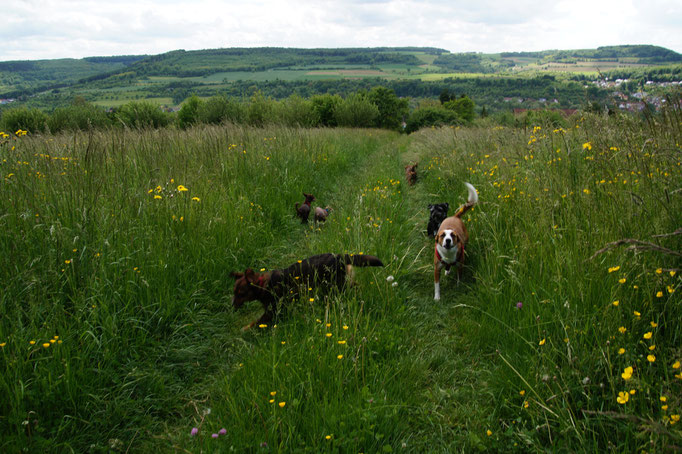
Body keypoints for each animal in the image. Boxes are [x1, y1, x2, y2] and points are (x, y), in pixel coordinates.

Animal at [231, 252, 382, 330]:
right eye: (234, 292)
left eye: (241, 293)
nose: (233, 307)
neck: (264, 284)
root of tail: (339, 256)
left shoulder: (273, 310)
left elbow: (256, 322)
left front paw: (245, 329)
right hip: (343, 283)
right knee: (357, 286)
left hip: (338, 285)